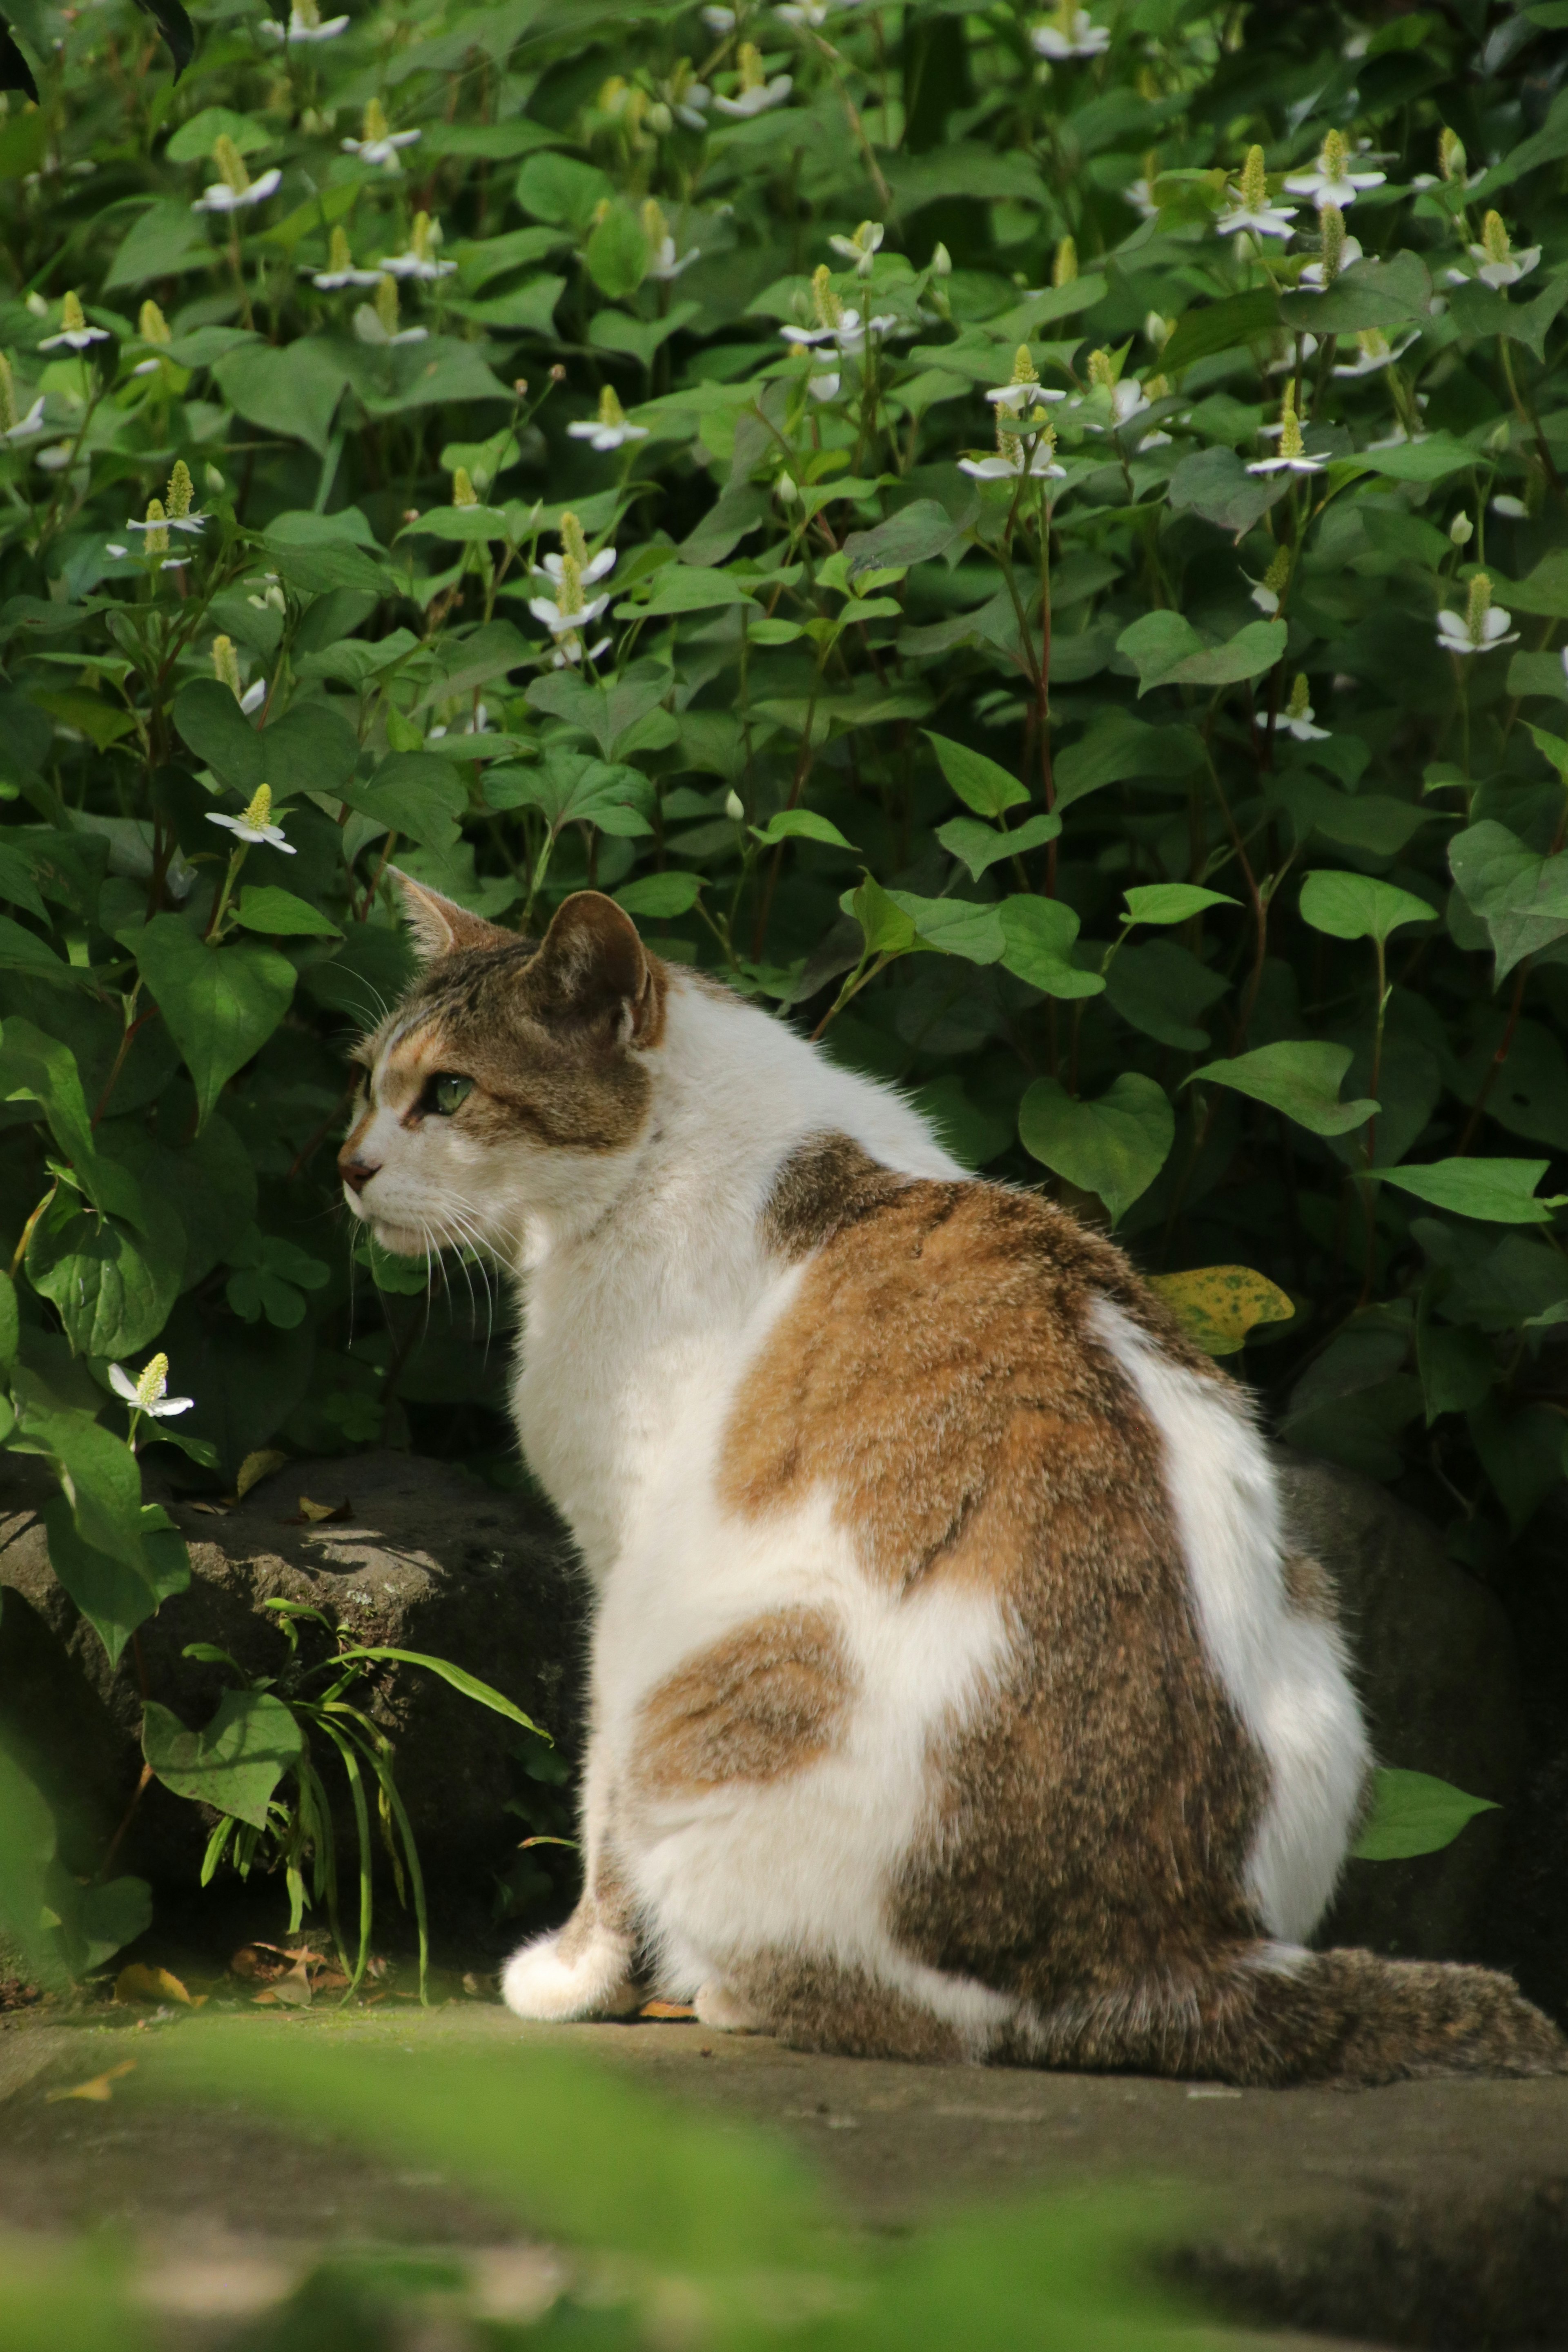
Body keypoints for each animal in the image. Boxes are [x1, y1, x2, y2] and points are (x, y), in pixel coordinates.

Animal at [339, 880, 1561, 2079]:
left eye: (448, 1092)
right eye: (366, 1080)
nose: (349, 1166)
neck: (678, 1138)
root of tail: (1172, 1951)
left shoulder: (624, 1565)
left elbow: (596, 1808)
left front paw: (576, 1977)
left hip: (707, 1665)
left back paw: (731, 1992)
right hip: (1318, 1630)